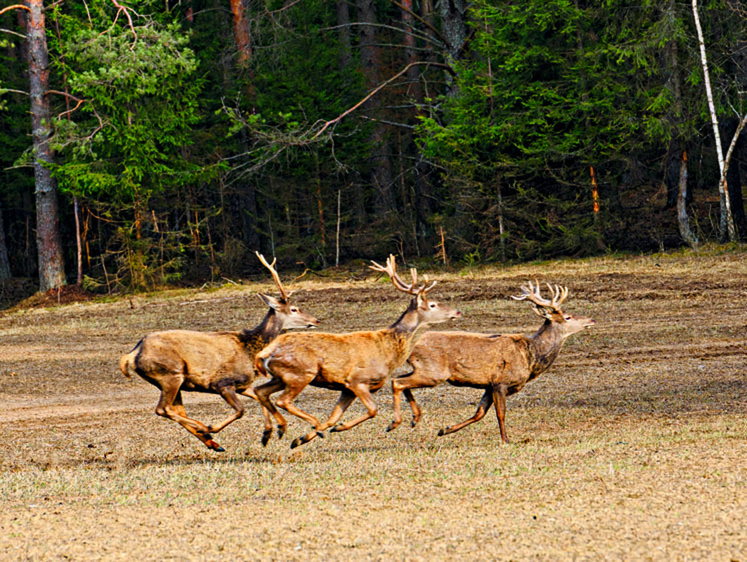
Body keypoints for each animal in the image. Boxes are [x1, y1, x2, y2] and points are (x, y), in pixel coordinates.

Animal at [120, 253, 322, 450]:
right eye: (294, 309)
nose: (316, 320)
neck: (250, 348)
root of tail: (132, 355)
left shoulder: (243, 385)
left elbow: (259, 396)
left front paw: (268, 433)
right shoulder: (222, 383)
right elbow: (241, 410)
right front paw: (213, 427)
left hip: (171, 380)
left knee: (175, 409)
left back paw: (212, 442)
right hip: (170, 373)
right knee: (163, 409)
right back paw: (203, 428)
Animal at [254, 253, 458, 446]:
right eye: (433, 304)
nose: (457, 312)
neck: (389, 352)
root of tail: (265, 352)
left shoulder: (347, 388)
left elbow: (333, 416)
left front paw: (302, 439)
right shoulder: (356, 380)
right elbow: (373, 410)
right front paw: (339, 428)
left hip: (281, 376)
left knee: (261, 391)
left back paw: (274, 432)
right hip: (301, 372)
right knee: (283, 400)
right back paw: (308, 425)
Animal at [386, 280, 596, 442]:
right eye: (568, 317)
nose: (591, 320)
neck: (531, 356)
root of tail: (411, 347)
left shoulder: (488, 385)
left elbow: (479, 413)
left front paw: (445, 429)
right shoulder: (500, 382)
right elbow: (500, 413)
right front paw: (506, 439)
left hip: (424, 370)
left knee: (401, 379)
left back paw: (414, 418)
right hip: (434, 372)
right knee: (397, 381)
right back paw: (395, 423)